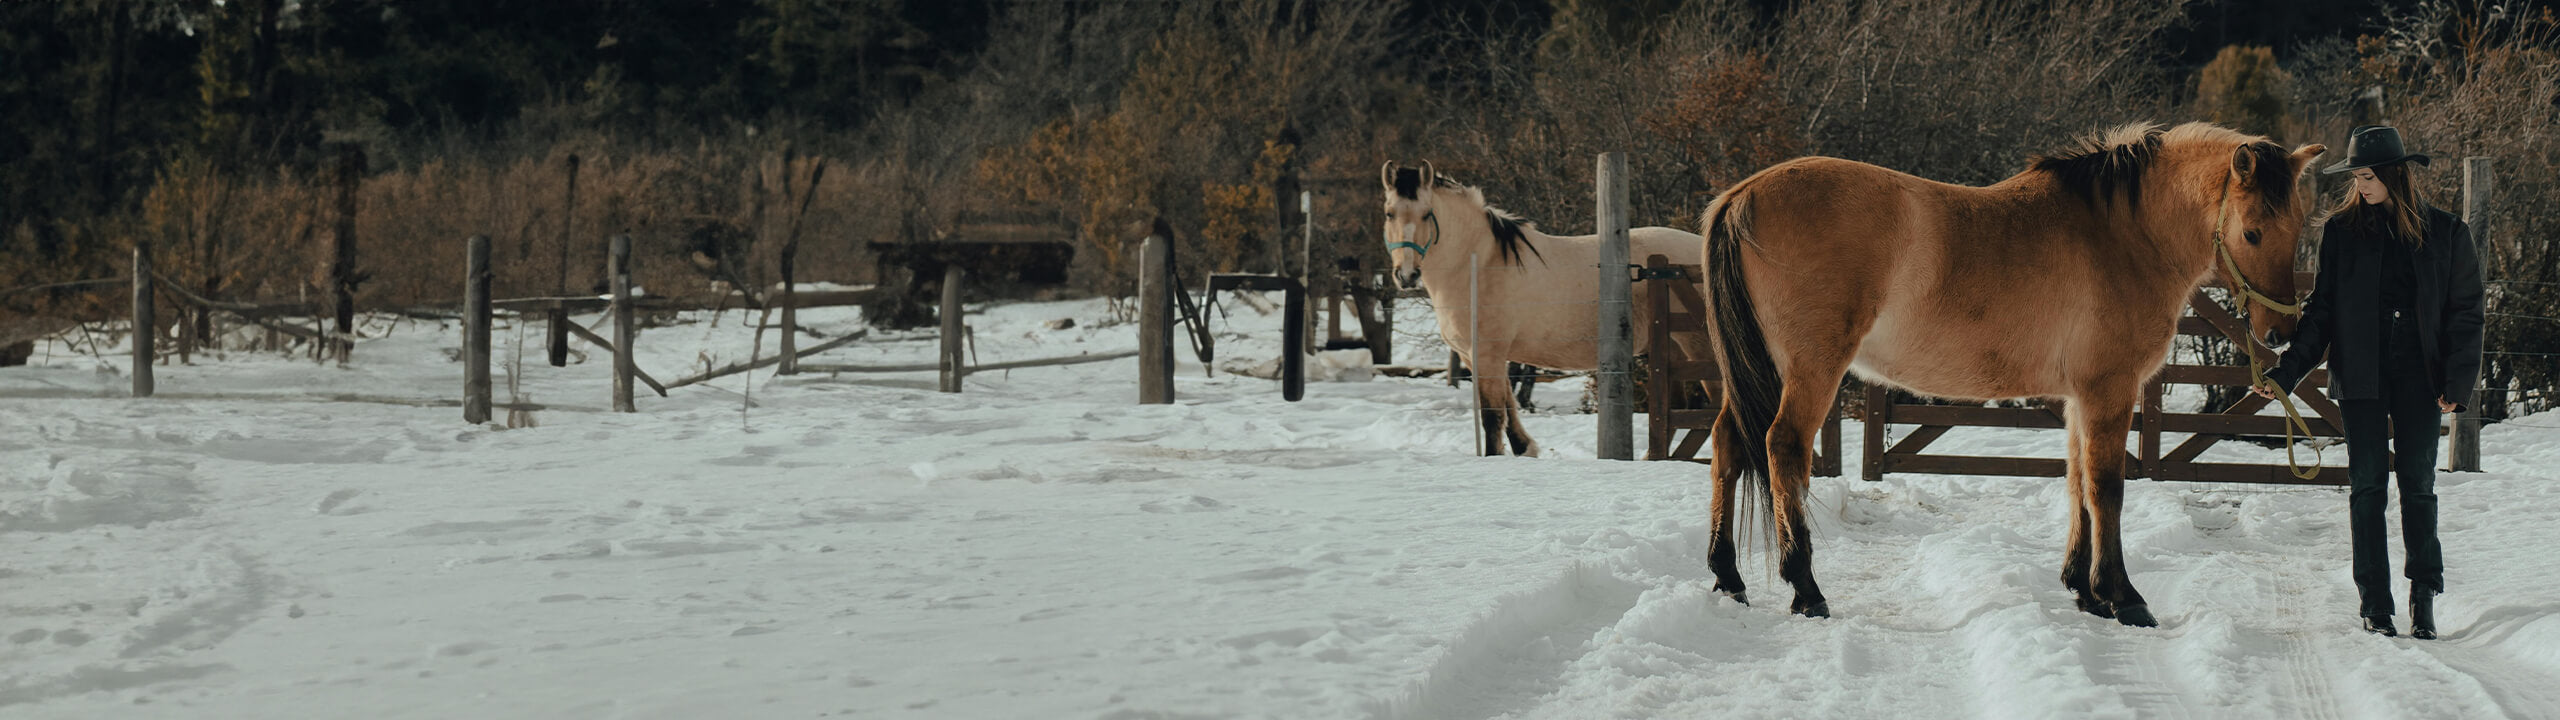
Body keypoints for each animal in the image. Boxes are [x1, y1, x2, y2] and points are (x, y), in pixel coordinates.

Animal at [1382, 161, 1699, 453]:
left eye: (1426, 214)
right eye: (1389, 213)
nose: (1406, 275)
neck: (1479, 265)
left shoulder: (1487, 354)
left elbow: (1492, 417)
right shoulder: (1475, 357)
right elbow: (1509, 406)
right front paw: (1525, 448)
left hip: (1694, 345)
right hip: (1672, 351)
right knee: (1679, 407)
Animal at [1689, 122, 2334, 622]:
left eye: (2300, 226)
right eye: (2251, 231)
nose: (2281, 333)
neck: (2123, 236)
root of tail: (1743, 194)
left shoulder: (2079, 399)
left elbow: (2076, 482)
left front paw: (2084, 590)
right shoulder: (2109, 391)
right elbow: (2107, 487)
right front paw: (2123, 597)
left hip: (1759, 370)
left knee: (1727, 445)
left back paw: (1729, 578)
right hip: (1811, 368)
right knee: (1783, 447)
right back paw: (1806, 588)